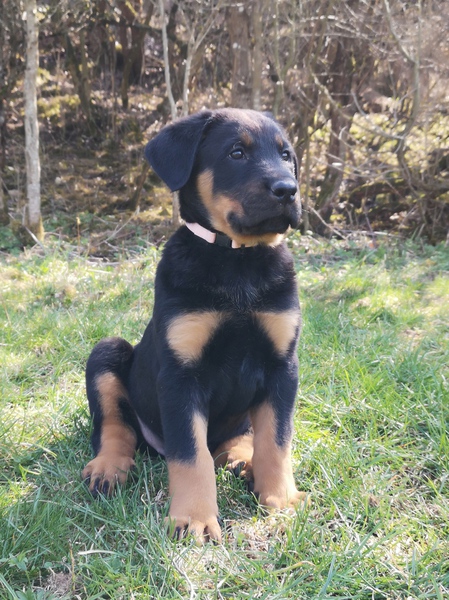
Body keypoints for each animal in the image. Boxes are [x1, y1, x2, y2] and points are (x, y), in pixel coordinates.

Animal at [82, 108, 307, 544]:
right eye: (236, 152)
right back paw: (108, 467)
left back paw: (241, 458)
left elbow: (276, 439)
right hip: (109, 350)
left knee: (241, 435)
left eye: (286, 155)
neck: (238, 262)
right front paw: (194, 519)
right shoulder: (180, 375)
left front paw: (280, 500)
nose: (288, 190)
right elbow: (190, 453)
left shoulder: (282, 366)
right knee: (116, 426)